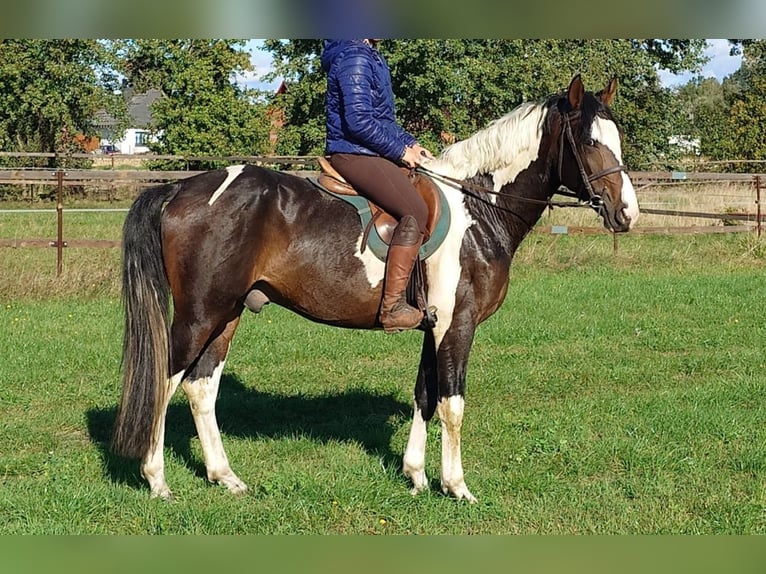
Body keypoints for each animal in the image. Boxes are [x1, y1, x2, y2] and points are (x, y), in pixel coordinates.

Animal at [112, 75, 640, 504]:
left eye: (618, 140)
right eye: (589, 142)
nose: (627, 213)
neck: (478, 208)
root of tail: (179, 189)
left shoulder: (434, 328)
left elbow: (425, 395)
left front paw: (417, 476)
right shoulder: (457, 326)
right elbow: (452, 405)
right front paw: (457, 486)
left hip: (227, 314)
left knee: (202, 387)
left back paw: (225, 477)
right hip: (200, 314)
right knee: (165, 380)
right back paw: (157, 481)